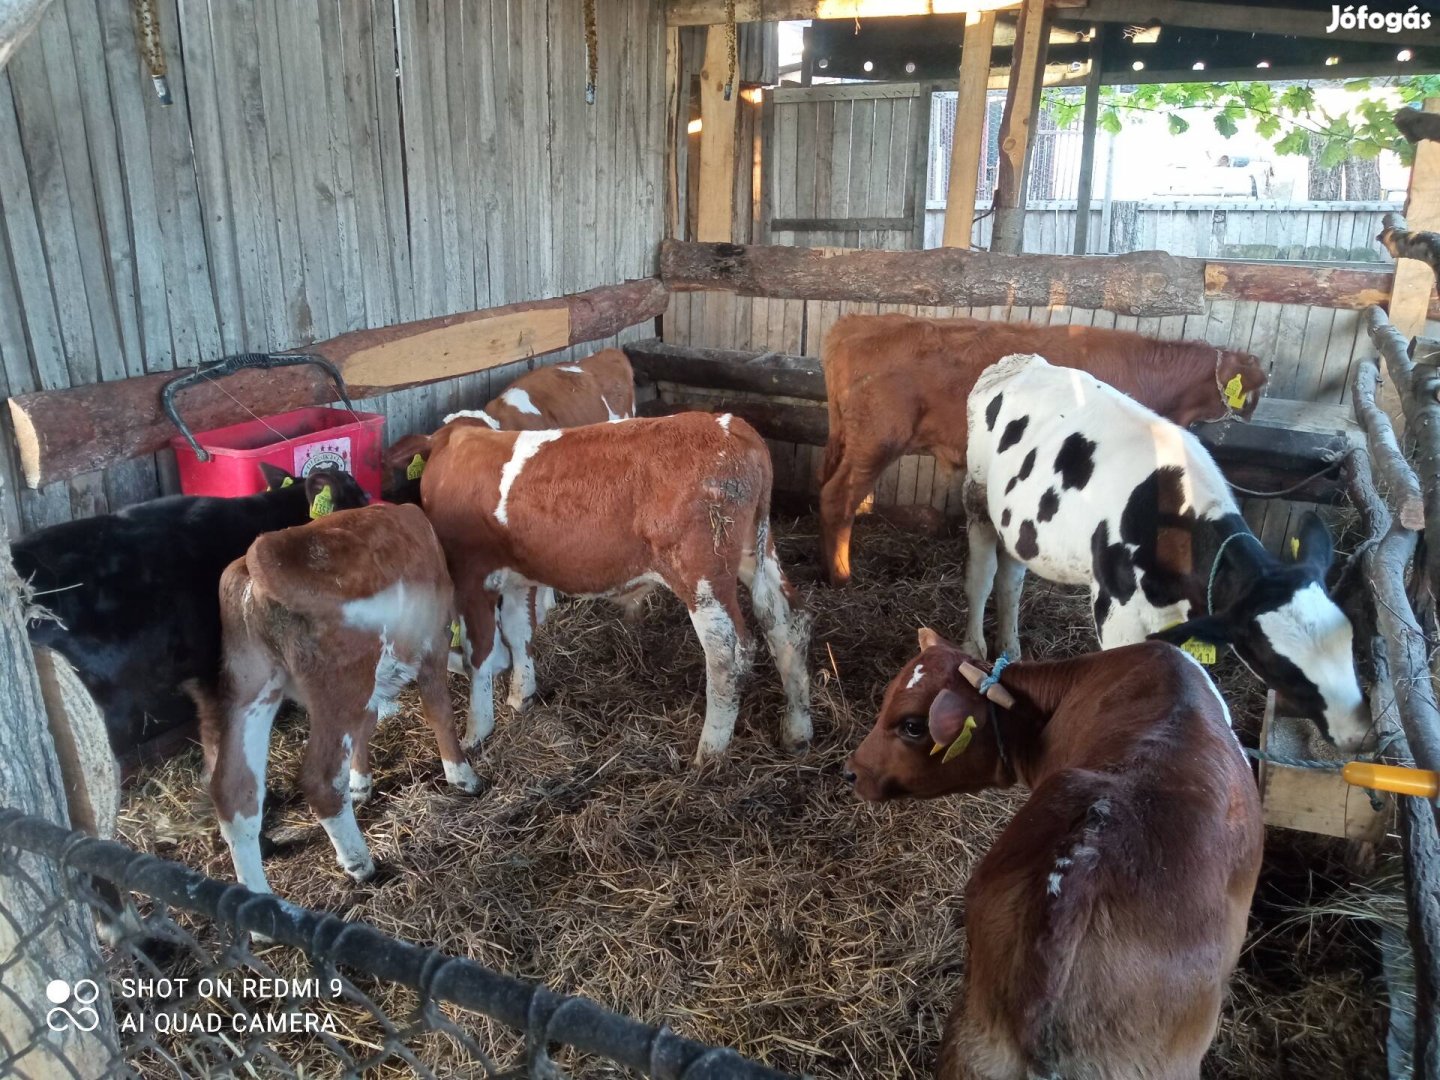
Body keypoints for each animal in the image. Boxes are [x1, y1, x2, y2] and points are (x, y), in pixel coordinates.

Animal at [817, 311, 1267, 584]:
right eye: (1254, 391)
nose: (1252, 415)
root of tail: (855, 323)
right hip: (876, 440)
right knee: (838, 498)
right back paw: (841, 575)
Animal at [961, 352, 1365, 754]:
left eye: (1349, 640)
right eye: (1280, 665)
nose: (1357, 734)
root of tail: (1023, 360)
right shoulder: (1115, 610)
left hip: (1017, 524)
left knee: (1011, 578)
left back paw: (1010, 649)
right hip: (978, 493)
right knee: (982, 574)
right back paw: (974, 646)